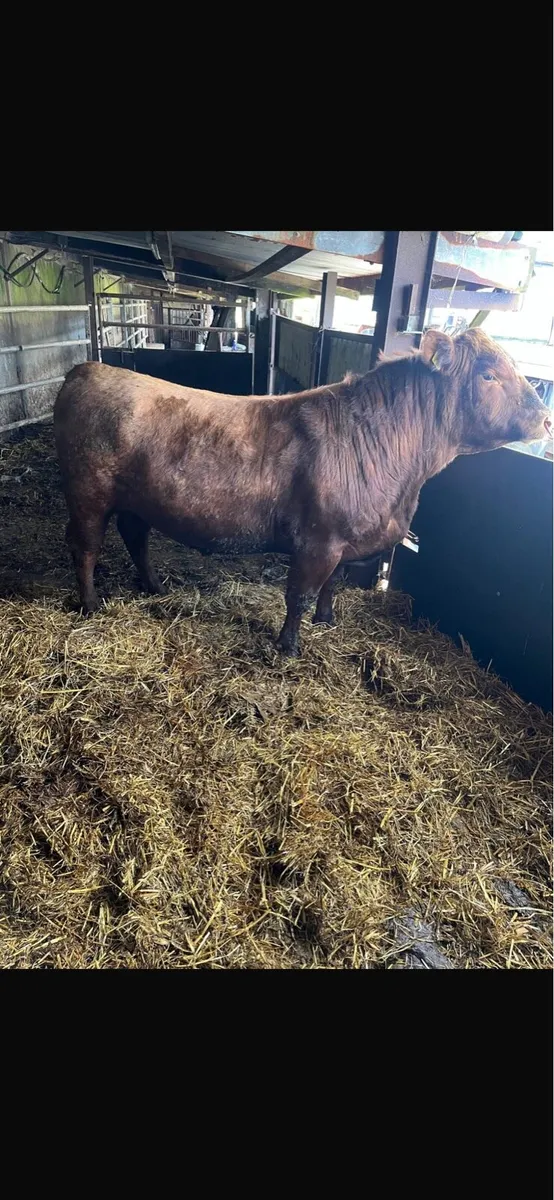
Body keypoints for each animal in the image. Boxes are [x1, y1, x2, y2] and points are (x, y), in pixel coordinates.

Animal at [53, 328, 552, 657]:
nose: (545, 418)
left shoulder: (344, 541)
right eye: (488, 375)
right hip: (88, 493)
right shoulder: (317, 540)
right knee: (85, 547)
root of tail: (88, 368)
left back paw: (155, 586)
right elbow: (299, 594)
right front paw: (289, 647)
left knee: (136, 537)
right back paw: (91, 605)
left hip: (136, 498)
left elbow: (332, 585)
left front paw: (327, 620)